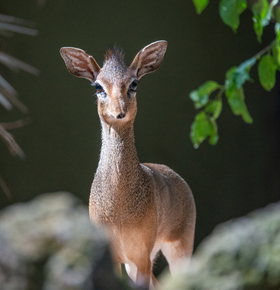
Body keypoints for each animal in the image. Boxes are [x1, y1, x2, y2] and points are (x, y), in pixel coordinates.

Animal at [60, 41, 196, 290]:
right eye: (98, 86)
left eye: (134, 84)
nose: (119, 112)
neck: (120, 211)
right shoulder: (116, 256)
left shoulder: (142, 253)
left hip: (180, 245)